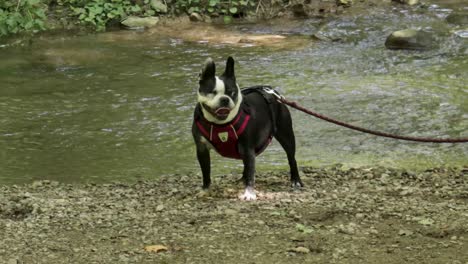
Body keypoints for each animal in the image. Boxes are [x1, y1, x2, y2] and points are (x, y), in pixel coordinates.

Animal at [191, 55, 304, 200]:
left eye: (232, 92)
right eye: (212, 92)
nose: (224, 99)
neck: (220, 124)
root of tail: (272, 93)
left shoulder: (247, 147)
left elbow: (251, 172)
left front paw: (249, 193)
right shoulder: (202, 149)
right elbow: (206, 171)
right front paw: (205, 189)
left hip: (286, 135)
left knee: (291, 158)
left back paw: (295, 180)